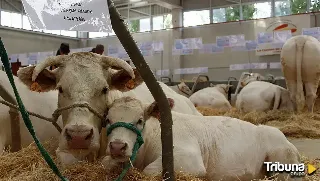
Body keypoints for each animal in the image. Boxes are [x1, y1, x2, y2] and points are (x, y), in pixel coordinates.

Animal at [102, 97, 300, 181]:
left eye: (140, 120)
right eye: (108, 120)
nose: (117, 146)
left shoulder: (188, 159)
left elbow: (149, 171)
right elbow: (105, 162)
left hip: (282, 161)